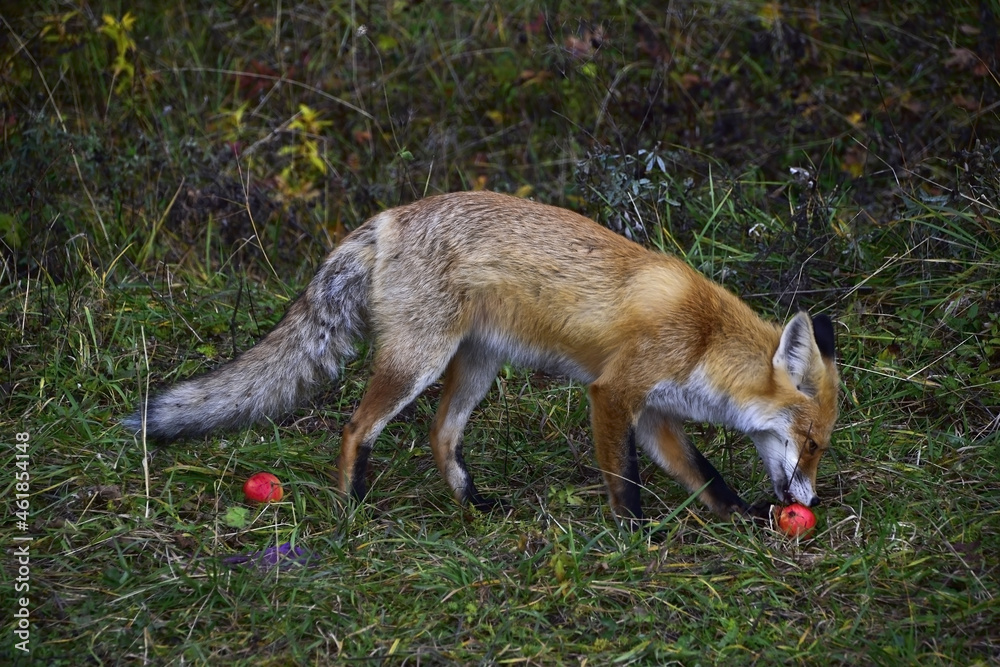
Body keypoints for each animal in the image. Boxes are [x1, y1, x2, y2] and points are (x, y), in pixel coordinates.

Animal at [125, 190, 839, 522]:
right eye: (811, 443)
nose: (811, 497)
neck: (703, 337)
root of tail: (389, 216)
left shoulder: (656, 413)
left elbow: (706, 475)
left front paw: (743, 518)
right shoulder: (614, 394)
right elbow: (625, 480)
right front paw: (635, 534)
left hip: (474, 368)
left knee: (441, 436)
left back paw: (473, 506)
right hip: (417, 362)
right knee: (355, 427)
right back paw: (353, 506)